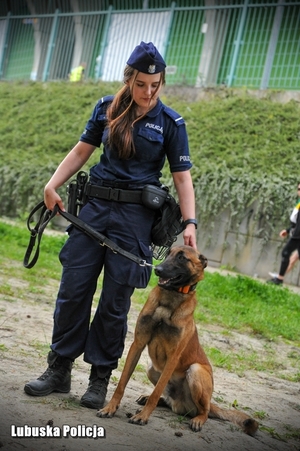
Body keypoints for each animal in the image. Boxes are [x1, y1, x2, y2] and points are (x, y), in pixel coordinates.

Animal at [97, 245, 258, 436]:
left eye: (182, 258)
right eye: (168, 254)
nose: (158, 270)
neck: (169, 300)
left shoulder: (173, 357)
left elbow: (156, 391)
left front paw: (143, 417)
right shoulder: (137, 345)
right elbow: (122, 383)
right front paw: (110, 408)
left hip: (195, 371)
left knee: (204, 411)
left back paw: (197, 419)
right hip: (151, 368)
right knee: (167, 399)